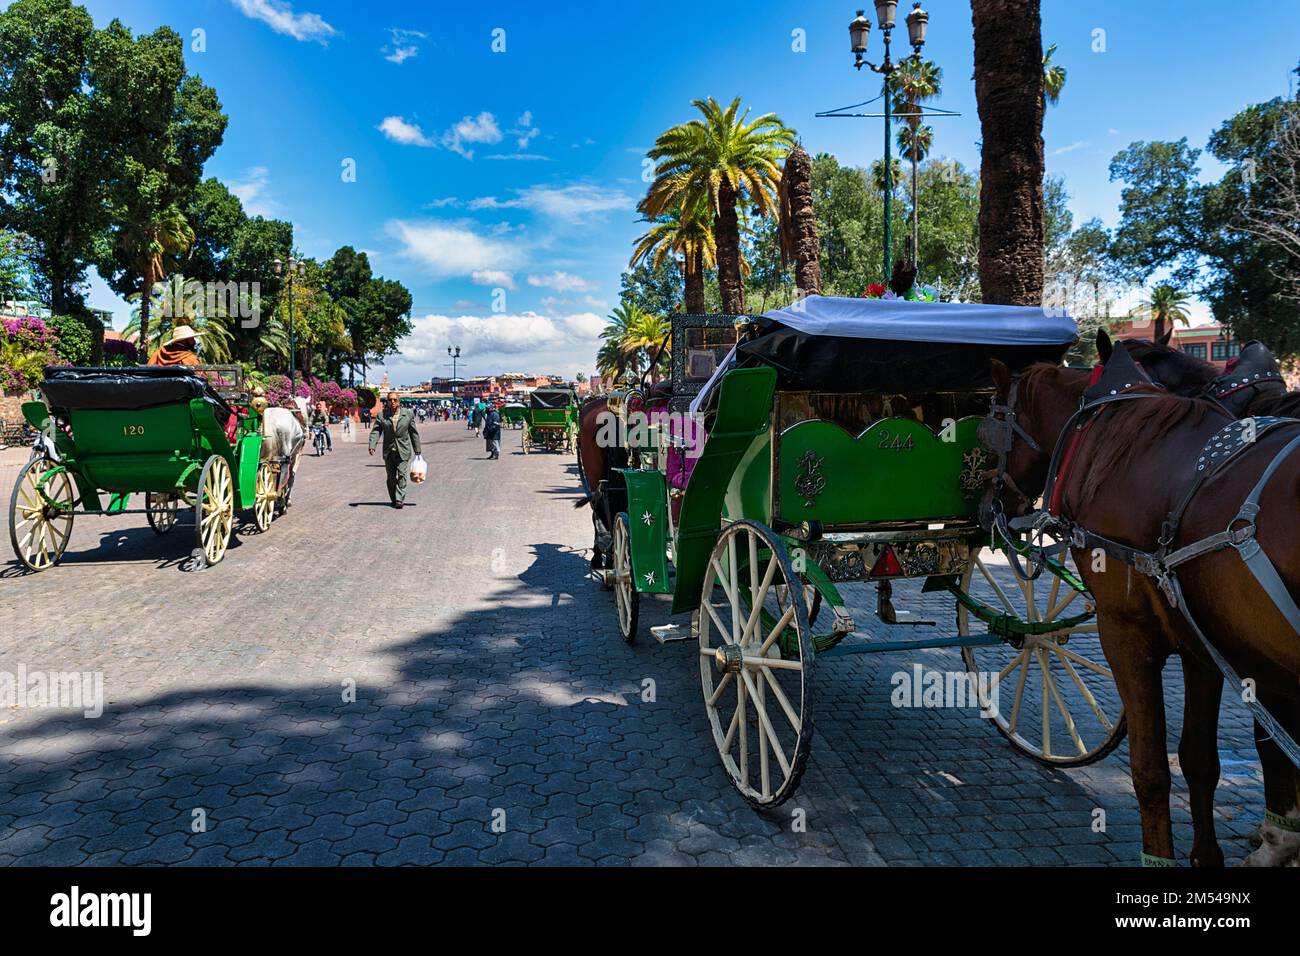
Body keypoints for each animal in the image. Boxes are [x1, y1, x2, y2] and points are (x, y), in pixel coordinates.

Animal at [982, 356, 1300, 868]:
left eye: (989, 428)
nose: (984, 506)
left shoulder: (1126, 632)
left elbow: (1151, 771)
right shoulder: (1201, 646)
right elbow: (1198, 760)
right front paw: (1211, 856)